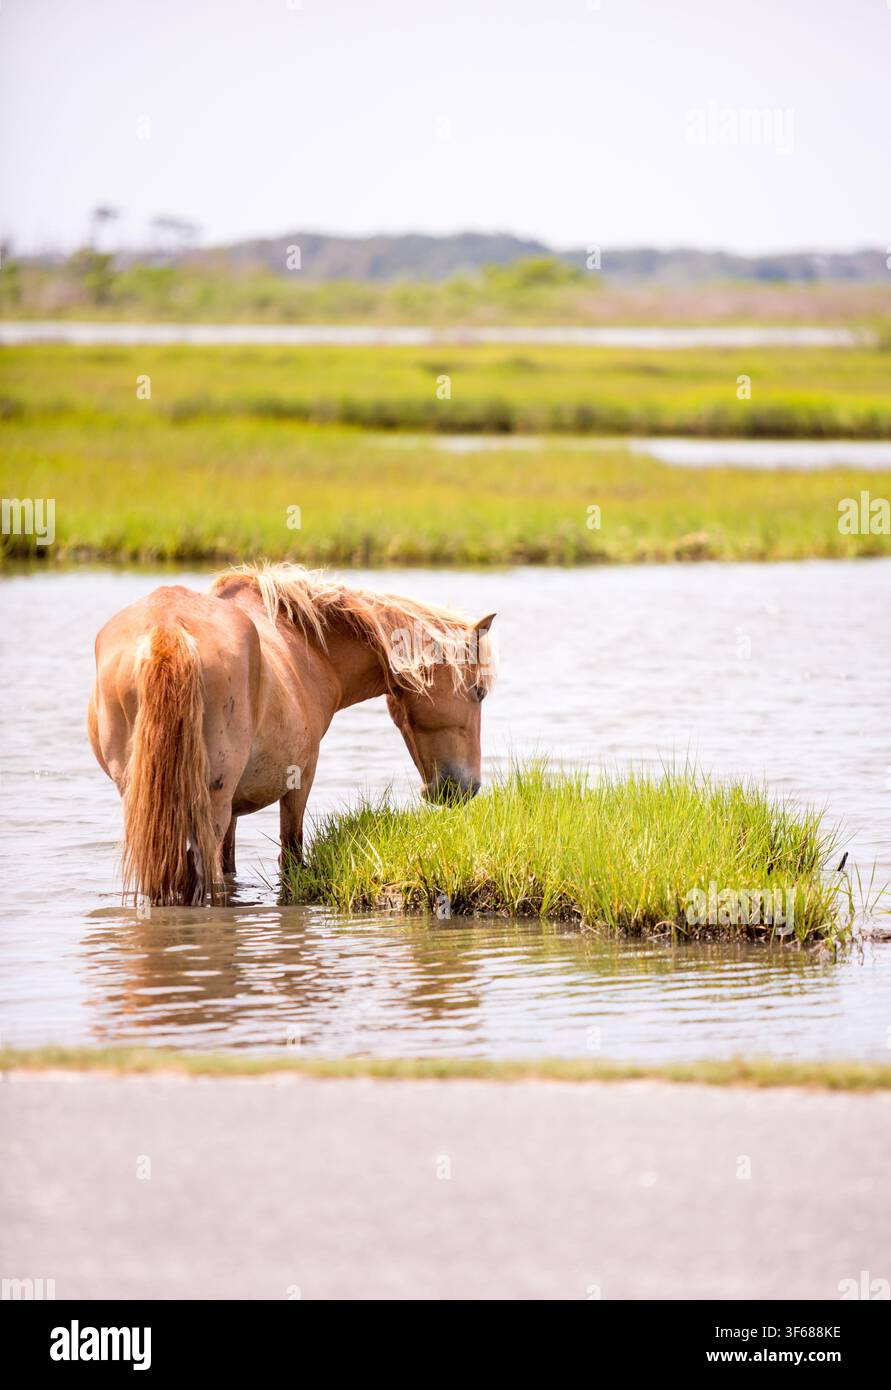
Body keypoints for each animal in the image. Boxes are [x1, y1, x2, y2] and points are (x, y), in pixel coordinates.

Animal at [87, 563, 496, 905]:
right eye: (478, 691)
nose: (463, 788)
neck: (308, 644)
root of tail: (167, 629)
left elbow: (231, 862)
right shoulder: (301, 776)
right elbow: (291, 854)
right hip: (209, 805)